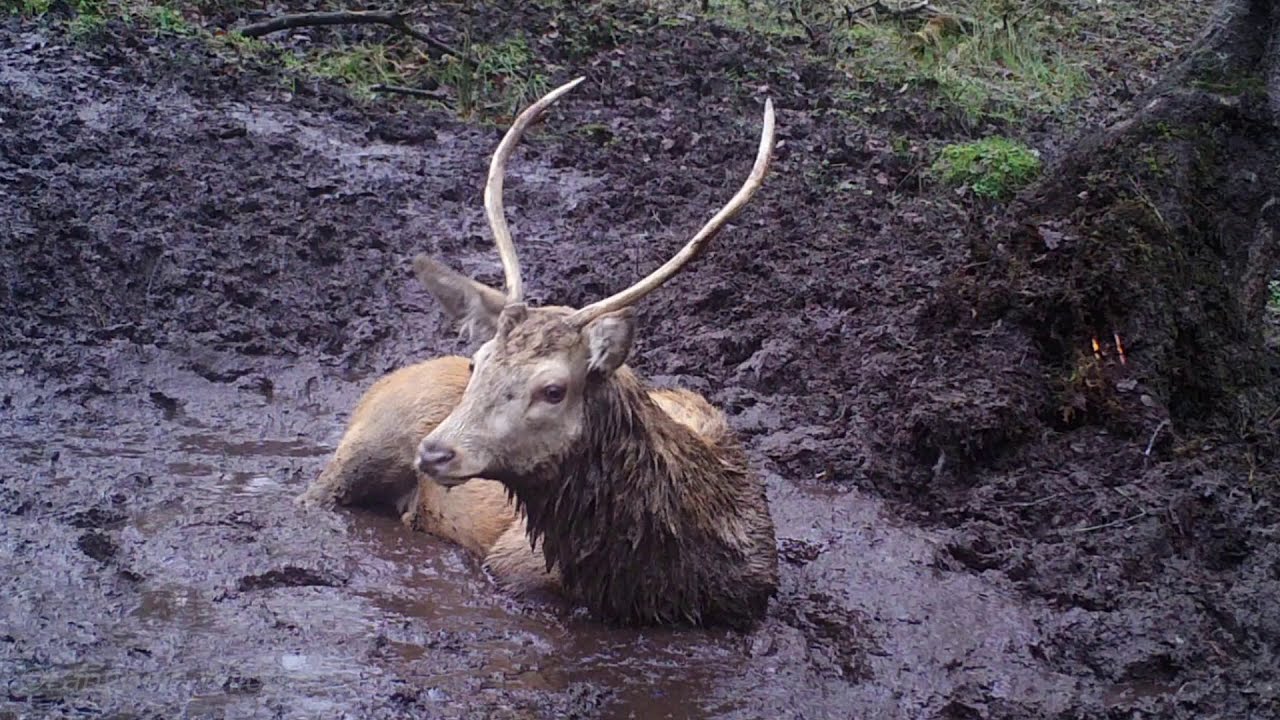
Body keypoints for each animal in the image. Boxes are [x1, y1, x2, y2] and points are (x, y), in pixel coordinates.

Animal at [299, 77, 779, 629]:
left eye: (553, 389)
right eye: (478, 363)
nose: (434, 451)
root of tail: (384, 379)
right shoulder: (510, 562)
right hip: (364, 446)